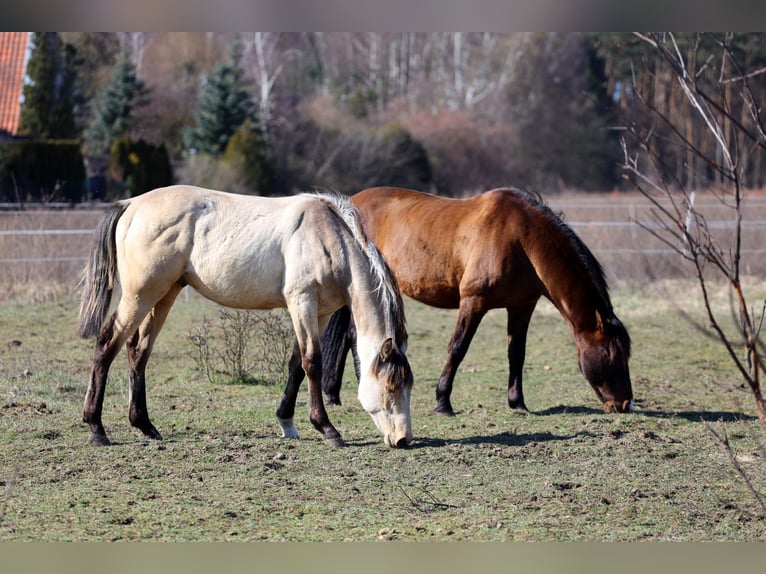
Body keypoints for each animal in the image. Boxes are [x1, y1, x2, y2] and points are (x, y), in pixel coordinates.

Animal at [77, 185, 413, 449]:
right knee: (107, 344)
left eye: (408, 386)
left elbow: (297, 364)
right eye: (391, 386)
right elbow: (312, 362)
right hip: (140, 296)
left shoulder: (320, 312)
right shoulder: (301, 302)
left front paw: (286, 422)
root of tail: (131, 204)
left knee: (138, 350)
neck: (328, 238)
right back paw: (96, 428)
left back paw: (145, 425)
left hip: (164, 295)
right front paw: (327, 428)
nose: (403, 439)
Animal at [315, 186, 633, 416]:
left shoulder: (522, 306)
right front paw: (443, 402)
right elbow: (458, 348)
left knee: (349, 336)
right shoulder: (473, 302)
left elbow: (516, 353)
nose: (625, 404)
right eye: (612, 356)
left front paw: (517, 402)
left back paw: (337, 393)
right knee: (354, 336)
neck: (521, 240)